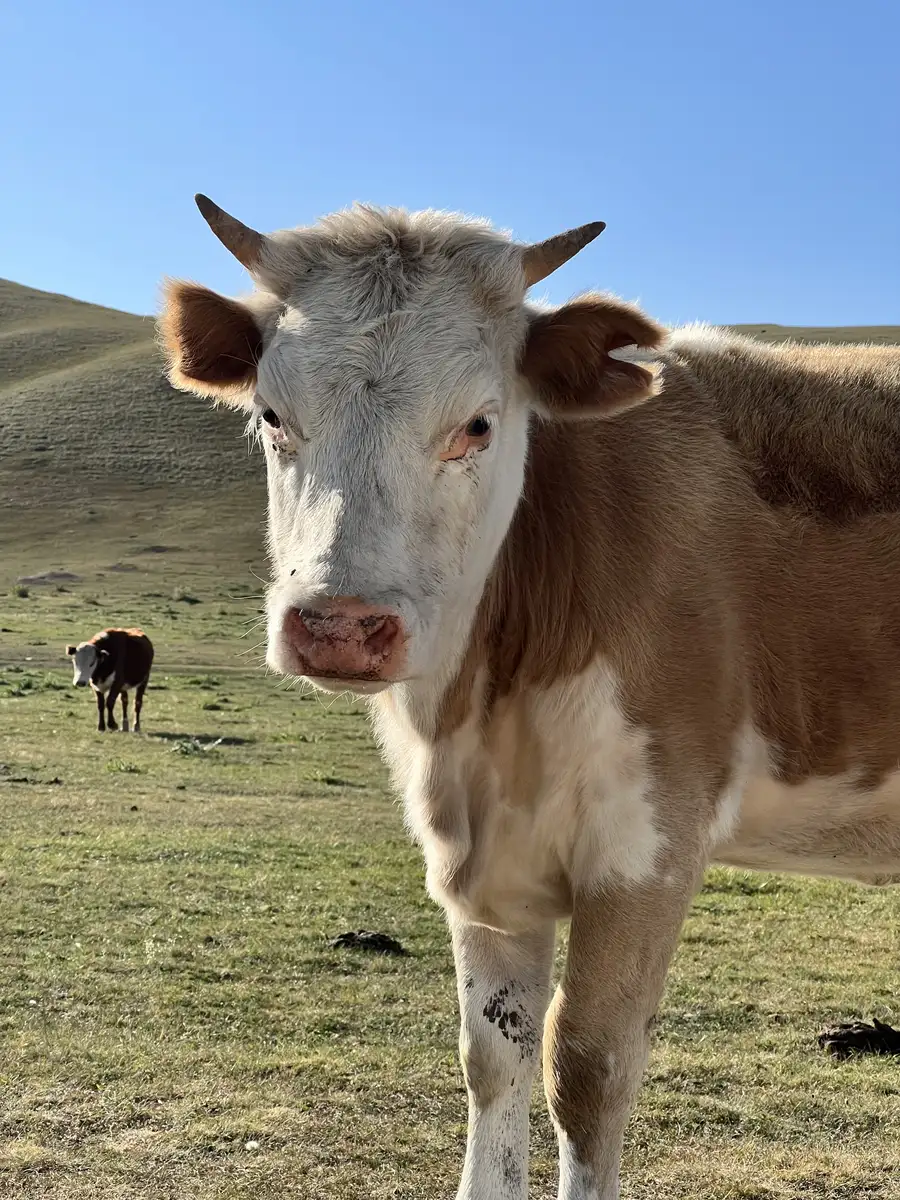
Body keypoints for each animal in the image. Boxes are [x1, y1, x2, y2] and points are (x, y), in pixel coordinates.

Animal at [159, 195, 900, 1200]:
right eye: (273, 415)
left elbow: (586, 1066)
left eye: (478, 424)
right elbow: (493, 1055)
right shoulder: (485, 865)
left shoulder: (647, 844)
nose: (340, 626)